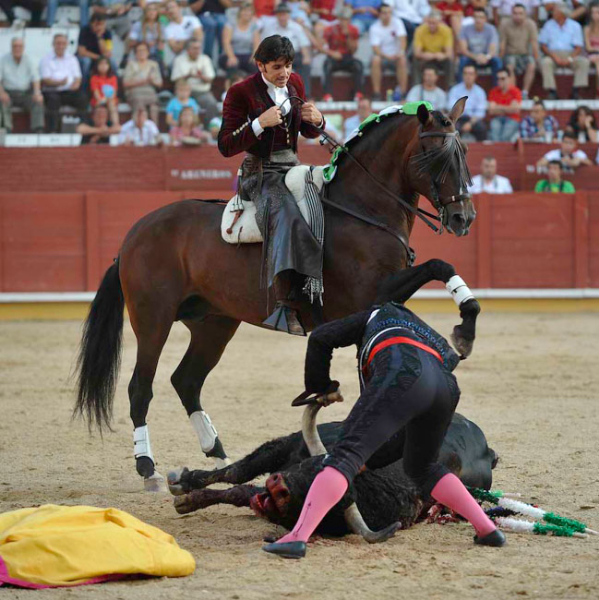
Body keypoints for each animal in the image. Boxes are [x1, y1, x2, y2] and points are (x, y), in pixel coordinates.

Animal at [75, 99, 478, 492]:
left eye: (463, 152)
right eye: (434, 155)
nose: (464, 218)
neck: (363, 209)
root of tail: (135, 233)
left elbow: (440, 268)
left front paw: (465, 327)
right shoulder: (374, 294)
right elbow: (438, 264)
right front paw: (464, 332)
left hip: (214, 324)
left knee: (186, 380)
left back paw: (218, 455)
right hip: (152, 320)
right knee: (140, 387)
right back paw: (148, 468)